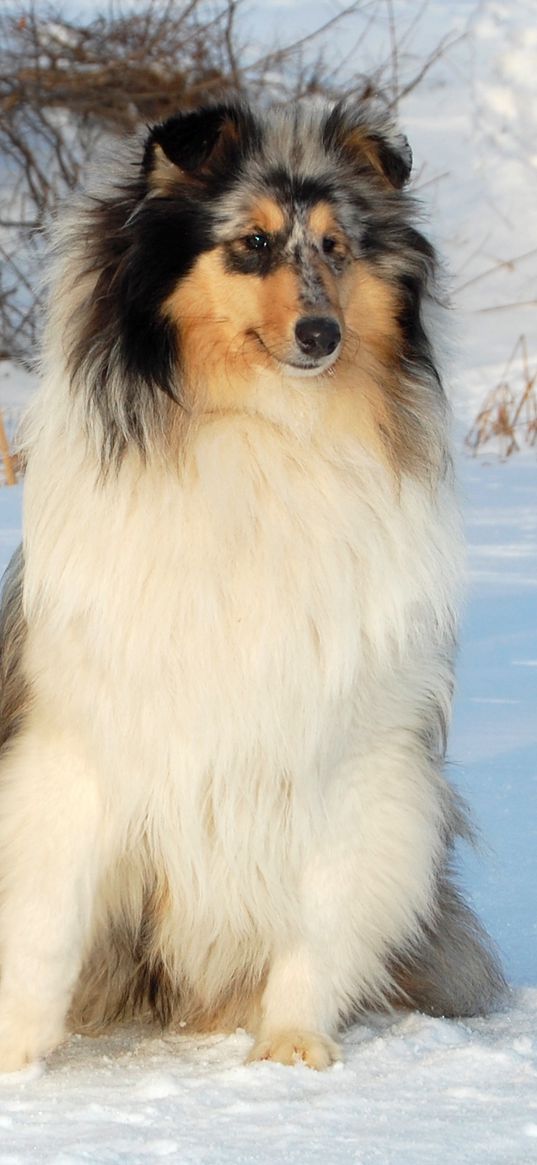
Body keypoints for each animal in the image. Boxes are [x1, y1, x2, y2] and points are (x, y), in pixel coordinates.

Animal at [0, 100, 505, 1071]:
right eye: (253, 243)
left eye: (336, 247)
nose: (320, 335)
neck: (267, 431)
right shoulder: (73, 740)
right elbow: (45, 917)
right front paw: (15, 1053)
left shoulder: (355, 753)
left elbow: (324, 910)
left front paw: (292, 1046)